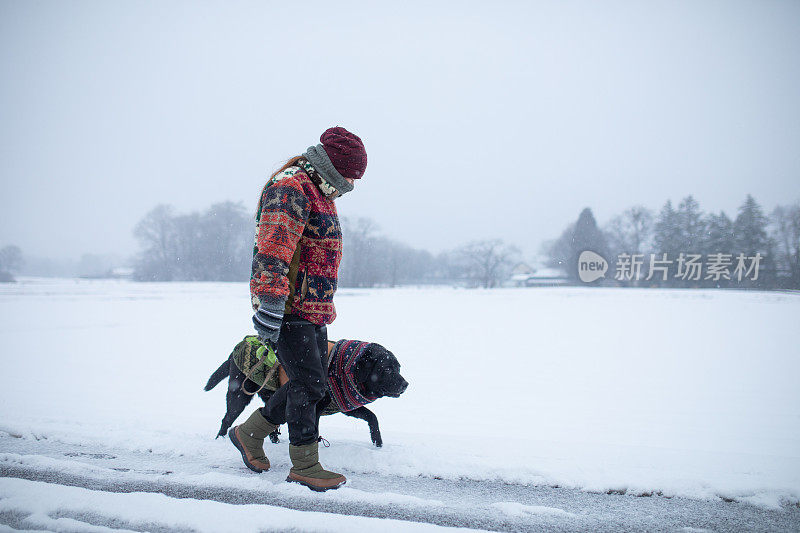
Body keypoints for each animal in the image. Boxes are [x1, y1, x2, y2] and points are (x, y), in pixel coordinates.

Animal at [206, 338, 406, 446]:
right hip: (239, 393)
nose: (406, 384)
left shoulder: (344, 405)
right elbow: (312, 429)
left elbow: (372, 417)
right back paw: (220, 439)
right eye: (387, 369)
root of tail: (239, 345)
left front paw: (378, 442)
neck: (343, 368)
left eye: (398, 367)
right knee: (227, 419)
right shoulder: (314, 406)